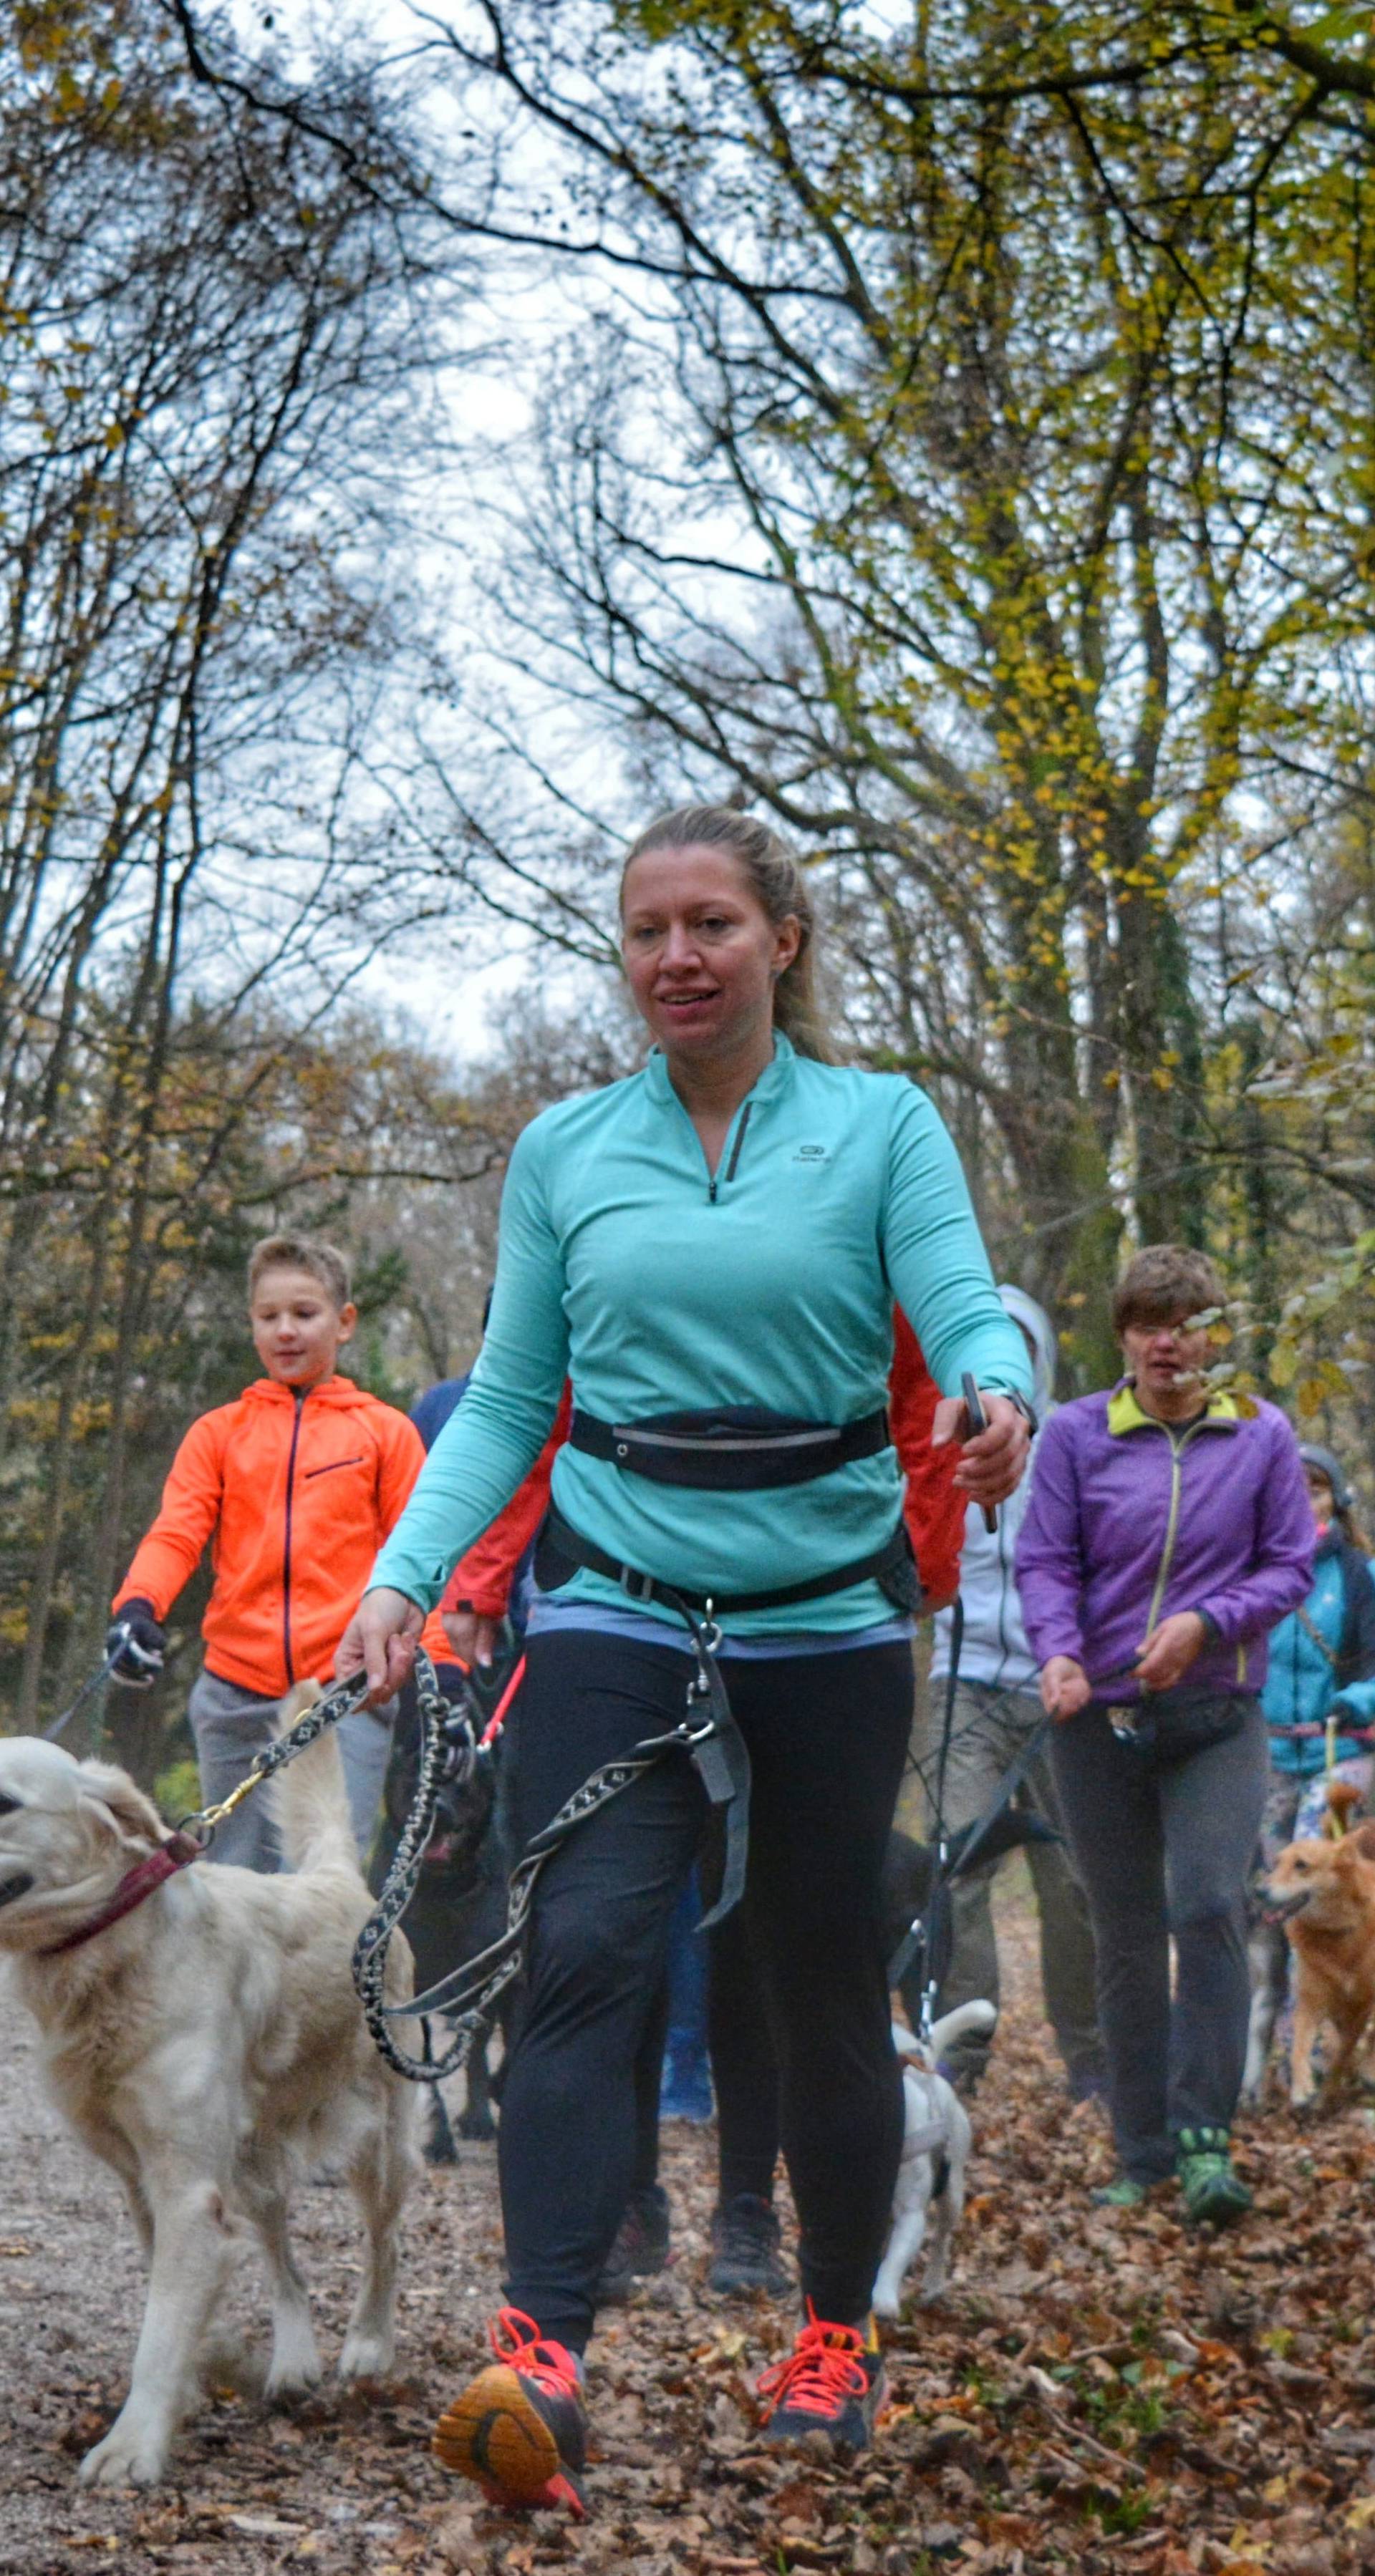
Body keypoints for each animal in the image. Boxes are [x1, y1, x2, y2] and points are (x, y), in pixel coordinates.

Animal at [0, 1679, 420, 2483]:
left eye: (5, 1801)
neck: (111, 1950)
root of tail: (336, 1880)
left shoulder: (189, 2186)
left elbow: (161, 2329)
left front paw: (133, 2444)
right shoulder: (142, 2177)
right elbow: (176, 2299)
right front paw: (210, 2370)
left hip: (376, 2140)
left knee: (384, 2246)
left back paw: (369, 2344)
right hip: (253, 2166)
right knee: (288, 2268)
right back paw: (292, 2361)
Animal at [875, 1988, 993, 2318]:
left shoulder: (912, 2214)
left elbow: (896, 2257)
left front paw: (883, 2298)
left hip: (952, 2192)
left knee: (941, 2237)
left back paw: (933, 2283)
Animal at [1266, 1824, 1375, 2101]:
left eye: (1301, 1865)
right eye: (1277, 1863)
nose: (1259, 1890)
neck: (1334, 1932)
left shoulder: (1363, 2003)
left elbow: (1346, 2049)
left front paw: (1331, 2089)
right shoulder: (1311, 1998)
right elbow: (1300, 2044)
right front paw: (1302, 2086)